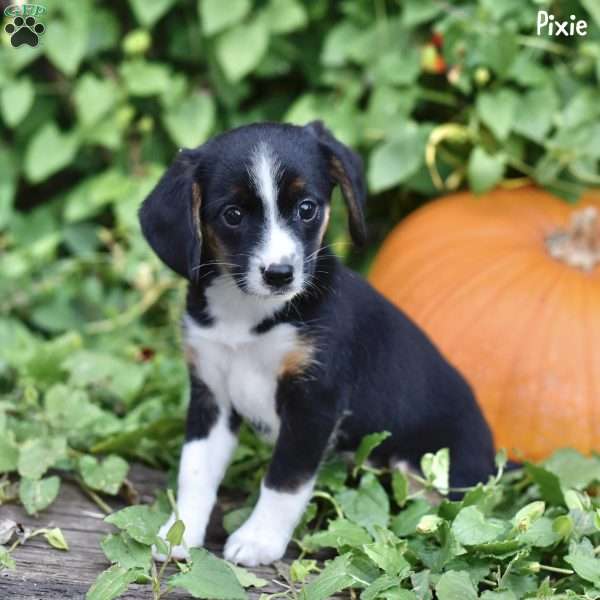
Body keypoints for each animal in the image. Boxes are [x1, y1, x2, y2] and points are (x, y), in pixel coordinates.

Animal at [141, 120, 496, 568]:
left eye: (306, 208)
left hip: (425, 468)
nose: (279, 274)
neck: (248, 316)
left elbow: (284, 480)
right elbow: (195, 471)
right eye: (233, 215)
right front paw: (179, 531)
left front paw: (258, 539)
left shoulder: (314, 402)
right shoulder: (211, 394)